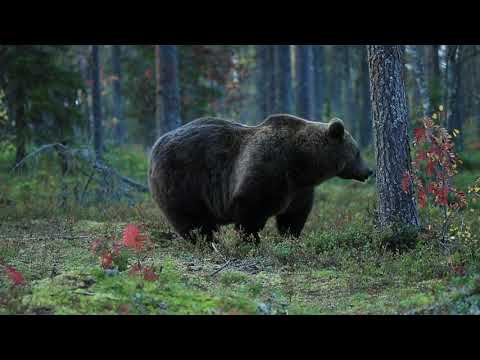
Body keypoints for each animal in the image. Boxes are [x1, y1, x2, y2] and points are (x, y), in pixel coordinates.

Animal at [148, 115, 374, 243]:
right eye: (357, 152)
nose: (369, 171)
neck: (303, 164)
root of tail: (156, 145)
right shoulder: (266, 172)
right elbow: (250, 213)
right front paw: (251, 241)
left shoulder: (298, 190)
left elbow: (294, 216)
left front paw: (291, 239)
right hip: (183, 181)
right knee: (192, 220)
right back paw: (205, 242)